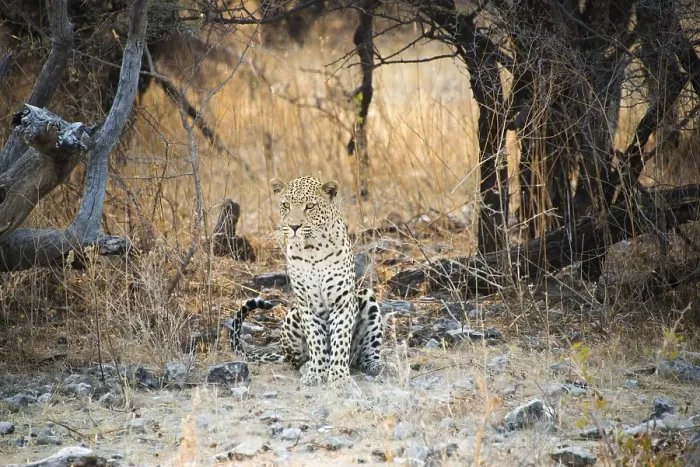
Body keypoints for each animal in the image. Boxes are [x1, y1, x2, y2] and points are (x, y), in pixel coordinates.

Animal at [224, 176, 383, 385]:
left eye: (310, 206)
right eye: (286, 205)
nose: (294, 227)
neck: (312, 248)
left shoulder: (342, 302)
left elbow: (340, 340)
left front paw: (339, 376)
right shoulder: (307, 304)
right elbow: (317, 341)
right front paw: (316, 373)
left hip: (365, 296)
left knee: (366, 351)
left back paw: (374, 365)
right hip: (292, 314)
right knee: (296, 360)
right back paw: (307, 366)